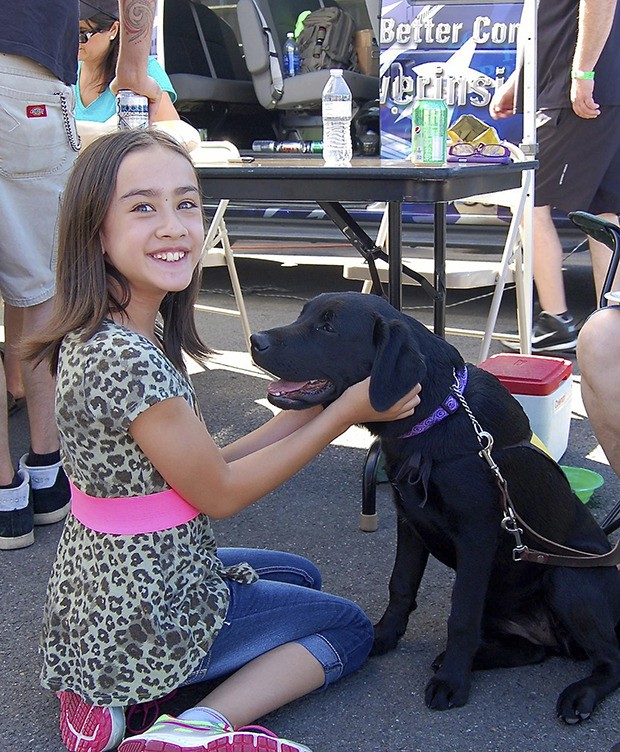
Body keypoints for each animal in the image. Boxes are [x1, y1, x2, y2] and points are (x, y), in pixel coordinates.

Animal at [249, 290, 620, 724]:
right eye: (302, 315)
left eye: (328, 326)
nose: (256, 341)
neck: (439, 414)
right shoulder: (410, 521)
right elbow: (400, 586)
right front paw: (384, 636)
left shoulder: (477, 536)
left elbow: (460, 616)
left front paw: (452, 683)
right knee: (534, 652)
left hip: (567, 577)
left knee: (610, 658)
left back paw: (579, 694)